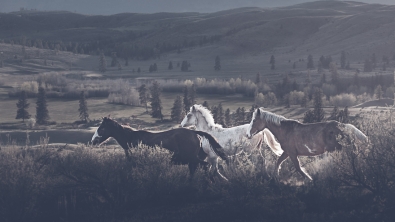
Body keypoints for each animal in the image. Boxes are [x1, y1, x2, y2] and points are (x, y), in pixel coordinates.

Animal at [91, 117, 227, 180]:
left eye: (102, 128)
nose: (93, 141)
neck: (131, 139)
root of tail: (195, 133)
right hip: (192, 161)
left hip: (193, 159)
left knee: (206, 167)